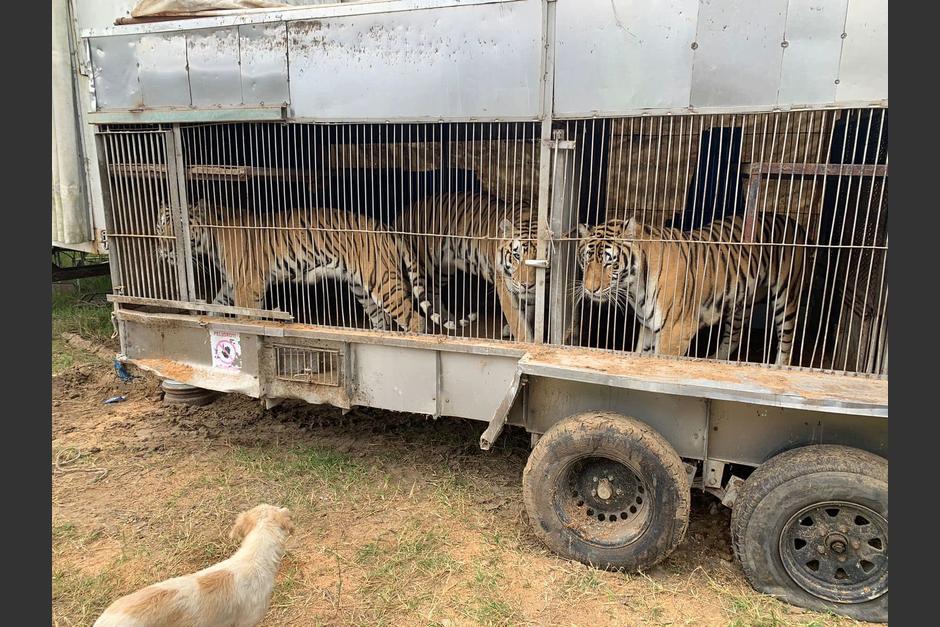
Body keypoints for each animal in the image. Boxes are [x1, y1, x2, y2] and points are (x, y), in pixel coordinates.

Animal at [155, 199, 455, 333]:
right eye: (160, 226)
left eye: (179, 227)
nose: (164, 248)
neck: (211, 238)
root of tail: (385, 228)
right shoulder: (232, 285)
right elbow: (217, 305)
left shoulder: (247, 286)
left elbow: (246, 318)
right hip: (363, 287)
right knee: (382, 320)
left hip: (384, 282)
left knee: (416, 321)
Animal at [394, 191, 541, 342]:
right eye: (517, 256)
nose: (527, 285)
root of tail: (401, 214)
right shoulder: (505, 286)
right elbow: (517, 320)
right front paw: (526, 341)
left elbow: (528, 314)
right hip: (420, 264)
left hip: (443, 270)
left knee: (432, 292)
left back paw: (447, 317)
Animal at [576, 214, 809, 365]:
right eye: (586, 260)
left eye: (610, 263)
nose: (590, 290)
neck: (635, 287)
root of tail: (793, 221)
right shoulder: (650, 325)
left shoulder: (675, 330)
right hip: (739, 302)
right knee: (734, 335)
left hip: (787, 296)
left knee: (786, 340)